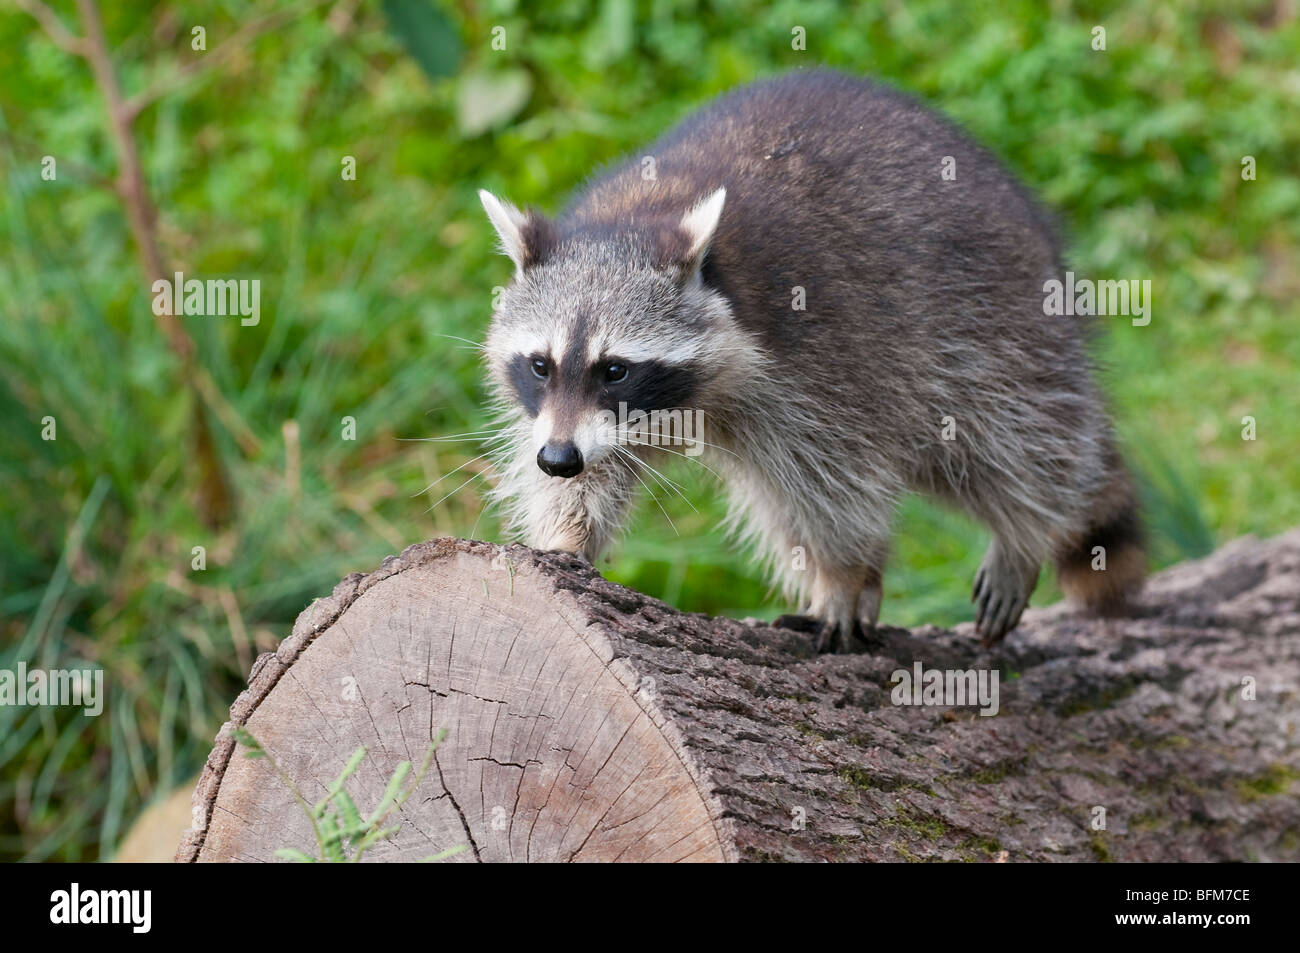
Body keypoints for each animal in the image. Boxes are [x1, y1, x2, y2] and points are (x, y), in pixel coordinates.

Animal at [480, 70, 1149, 650]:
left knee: (1017, 437)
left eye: (615, 368)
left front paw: (844, 573)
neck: (633, 217)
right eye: (540, 365)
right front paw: (566, 535)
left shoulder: (826, 357)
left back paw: (1022, 532)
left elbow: (840, 483)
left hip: (992, 317)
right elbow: (595, 472)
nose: (558, 460)